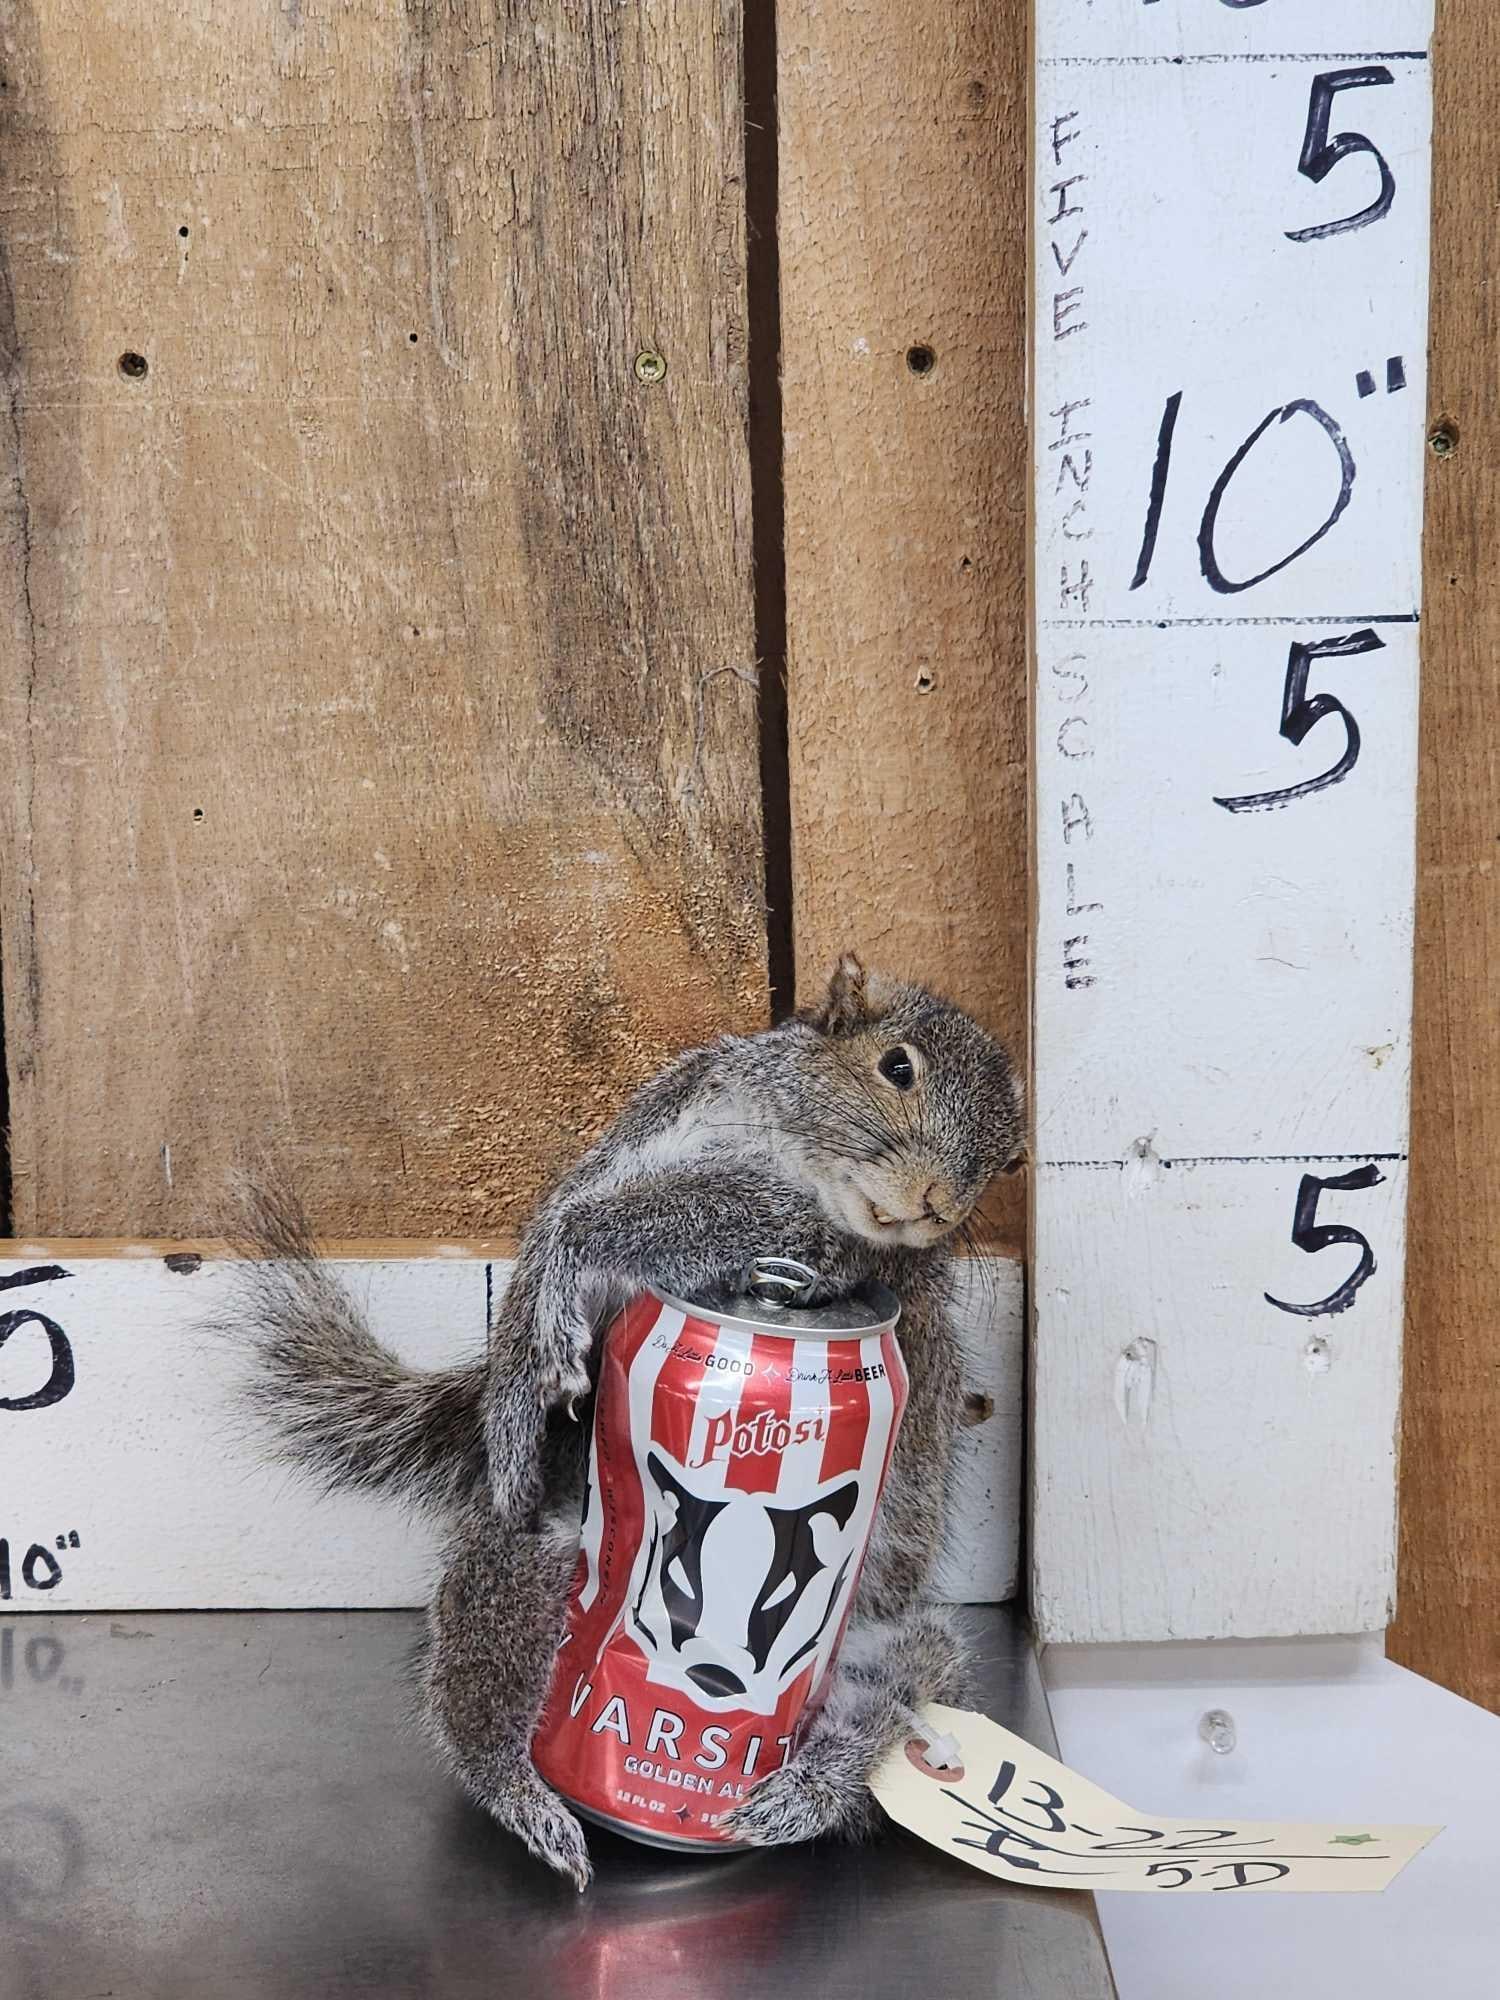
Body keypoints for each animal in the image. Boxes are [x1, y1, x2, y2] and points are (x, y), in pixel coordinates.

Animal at [221, 954, 1023, 1889]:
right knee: (481, 1698)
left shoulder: (828, 1247)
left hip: (895, 1650)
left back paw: (801, 1793)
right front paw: (516, 1396)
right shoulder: (635, 1142)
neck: (776, 1149)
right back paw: (525, 1793)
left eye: (1010, 1158)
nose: (940, 1205)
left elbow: (662, 1228)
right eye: (897, 1066)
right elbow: (545, 1261)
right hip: (521, 1567)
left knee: (892, 1697)